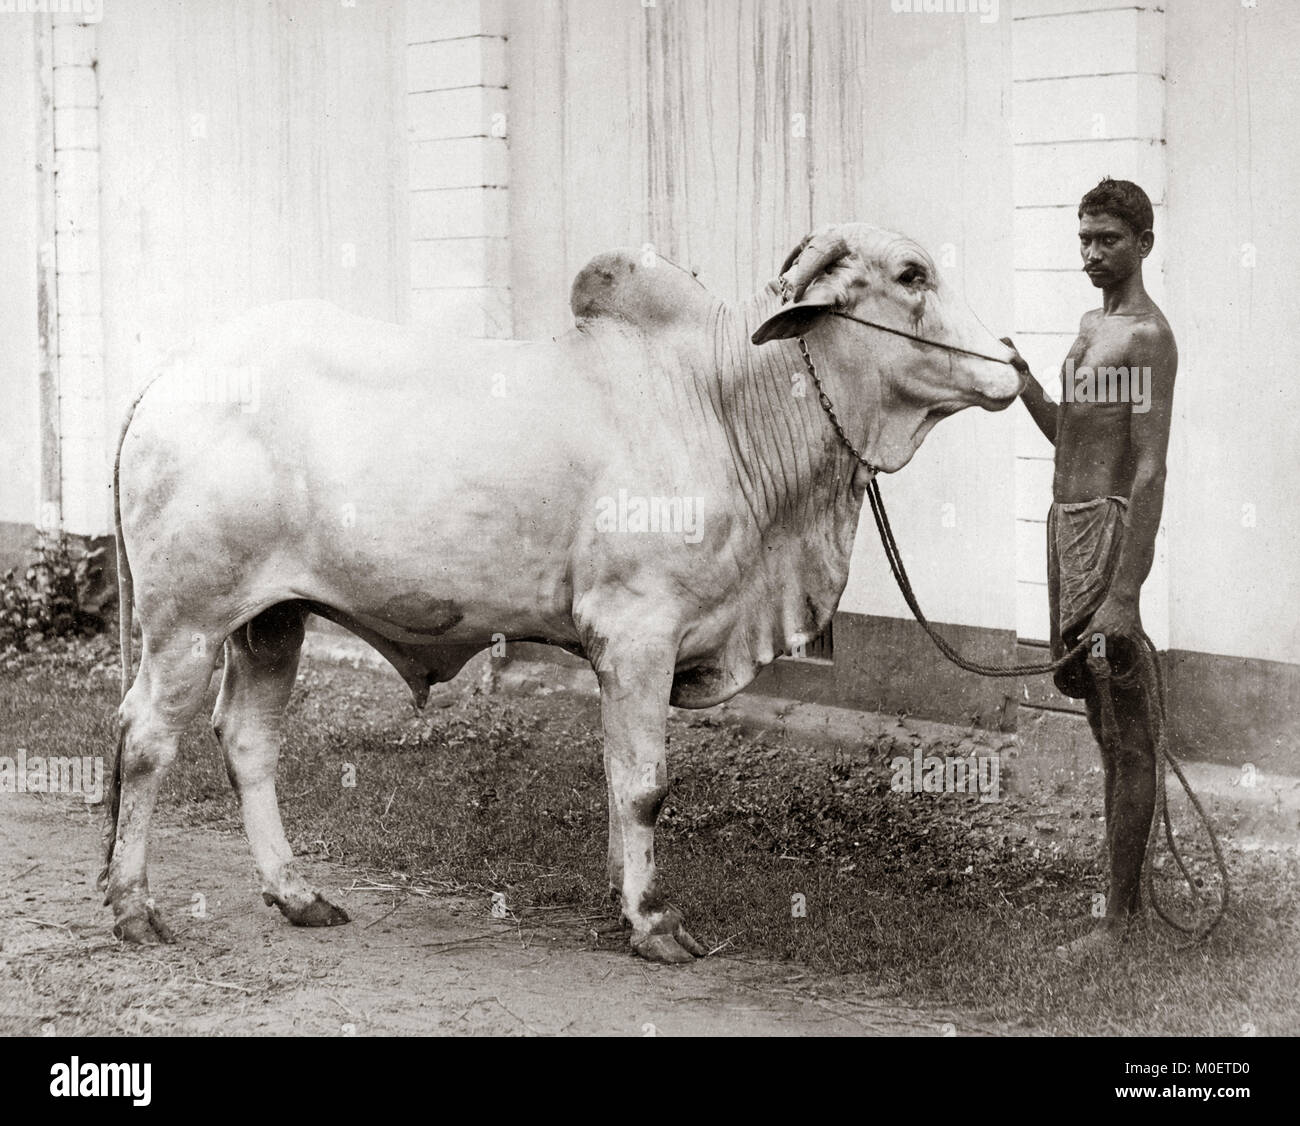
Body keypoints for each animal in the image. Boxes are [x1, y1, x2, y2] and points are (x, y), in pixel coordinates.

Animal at [101, 223, 1022, 963]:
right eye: (911, 274)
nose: (1013, 363)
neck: (723, 403)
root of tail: (165, 380)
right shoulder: (638, 631)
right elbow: (646, 785)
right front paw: (654, 924)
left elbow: (618, 781)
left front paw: (623, 897)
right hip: (186, 624)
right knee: (145, 738)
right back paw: (133, 909)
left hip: (271, 621)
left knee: (247, 741)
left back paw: (297, 895)